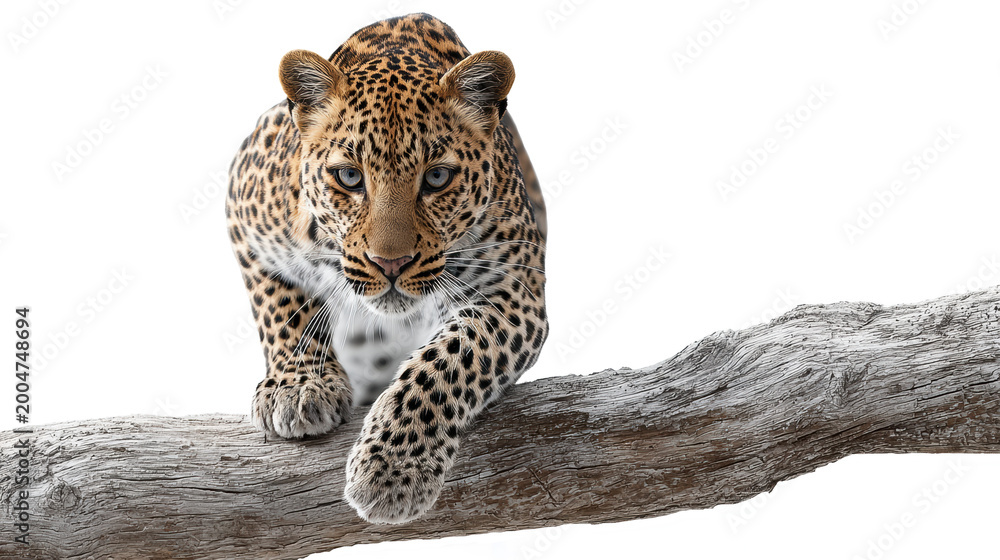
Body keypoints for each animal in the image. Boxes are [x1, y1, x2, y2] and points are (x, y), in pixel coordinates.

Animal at [225, 13, 548, 524]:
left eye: (437, 177)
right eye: (349, 177)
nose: (390, 263)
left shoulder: (514, 292)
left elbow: (445, 364)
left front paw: (392, 471)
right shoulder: (244, 210)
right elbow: (283, 308)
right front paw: (297, 387)